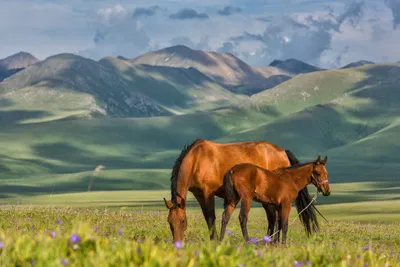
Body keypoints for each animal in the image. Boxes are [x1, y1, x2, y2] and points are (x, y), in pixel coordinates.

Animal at [162, 140, 322, 243]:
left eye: (182, 221)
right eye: (169, 221)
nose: (177, 244)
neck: (197, 159)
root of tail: (282, 151)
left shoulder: (208, 193)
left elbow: (211, 217)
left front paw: (214, 242)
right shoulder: (199, 195)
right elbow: (208, 218)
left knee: (274, 217)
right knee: (273, 217)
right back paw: (270, 241)